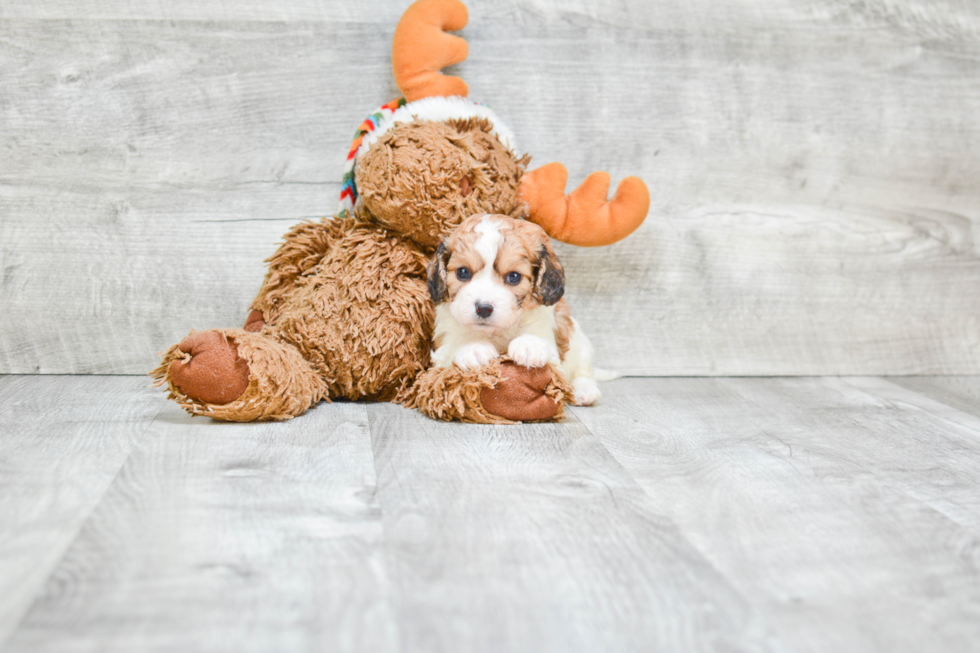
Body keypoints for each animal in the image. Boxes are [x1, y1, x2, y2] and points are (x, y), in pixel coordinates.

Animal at [430, 211, 604, 404]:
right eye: (463, 272)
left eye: (514, 277)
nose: (483, 308)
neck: (498, 331)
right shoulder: (441, 350)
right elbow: (453, 346)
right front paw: (473, 347)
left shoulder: (549, 342)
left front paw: (529, 345)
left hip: (581, 344)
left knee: (584, 372)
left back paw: (584, 390)